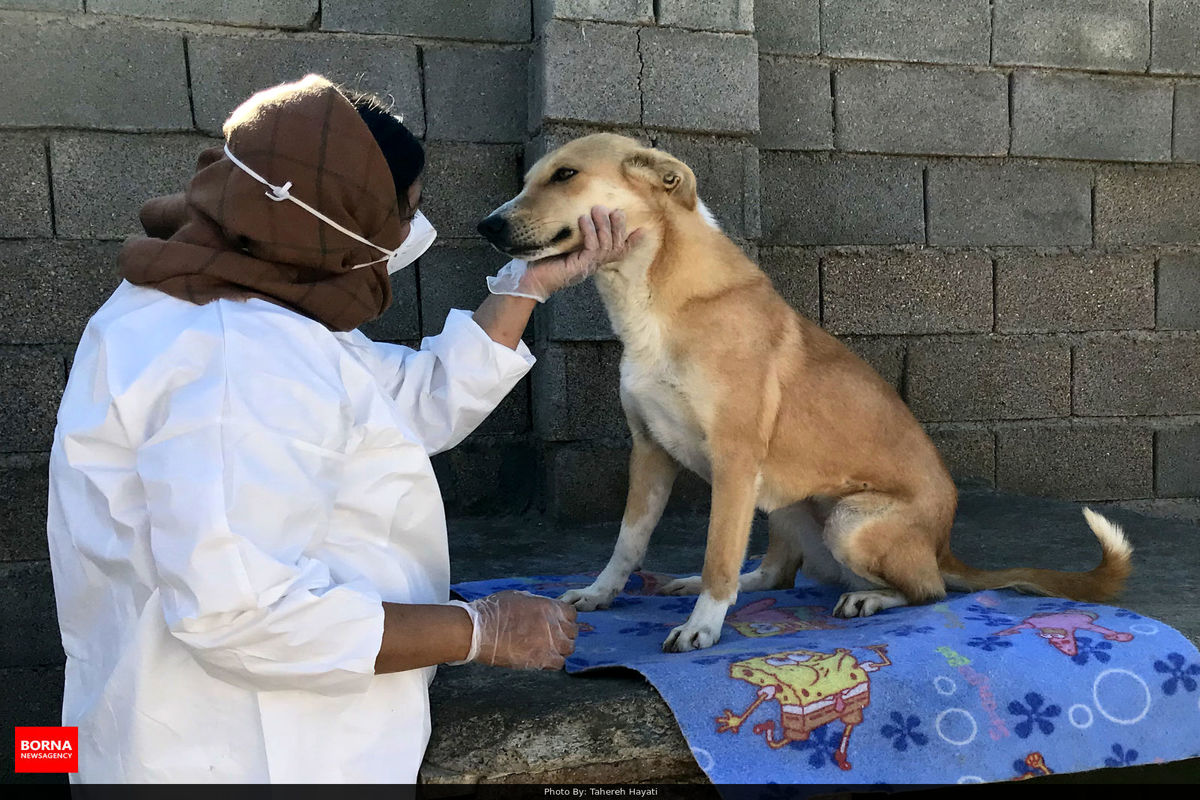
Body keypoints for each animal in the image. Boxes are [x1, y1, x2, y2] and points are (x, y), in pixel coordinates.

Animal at [472, 134, 1128, 652]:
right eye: (530, 177)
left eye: (565, 174)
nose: (486, 224)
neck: (654, 300)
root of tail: (944, 547)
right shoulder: (650, 452)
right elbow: (629, 544)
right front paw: (601, 593)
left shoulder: (735, 459)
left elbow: (718, 554)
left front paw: (702, 628)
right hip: (782, 501)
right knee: (775, 574)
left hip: (849, 520)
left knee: (929, 591)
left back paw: (870, 599)